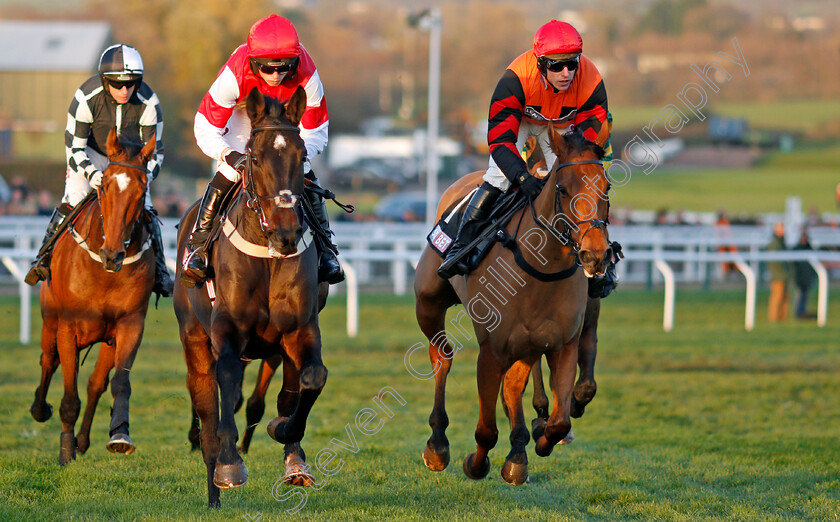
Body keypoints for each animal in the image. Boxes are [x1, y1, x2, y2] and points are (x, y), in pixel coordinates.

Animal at [30, 129, 159, 464]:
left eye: (142, 191)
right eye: (104, 187)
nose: (113, 255)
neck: (104, 273)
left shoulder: (129, 326)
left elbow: (116, 382)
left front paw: (119, 434)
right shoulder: (68, 327)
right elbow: (68, 396)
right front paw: (65, 452)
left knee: (95, 383)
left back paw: (84, 440)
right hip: (49, 320)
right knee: (48, 361)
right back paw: (39, 409)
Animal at [174, 87, 328, 506]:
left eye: (302, 156)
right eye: (256, 158)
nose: (286, 233)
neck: (267, 256)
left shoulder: (299, 329)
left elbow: (311, 379)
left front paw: (287, 437)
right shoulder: (227, 330)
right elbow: (226, 383)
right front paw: (230, 464)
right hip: (194, 337)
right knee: (206, 402)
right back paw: (214, 486)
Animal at [416, 123, 612, 484]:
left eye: (606, 187)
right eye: (563, 189)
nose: (595, 254)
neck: (541, 270)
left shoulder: (562, 342)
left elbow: (560, 418)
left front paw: (541, 439)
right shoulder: (492, 350)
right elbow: (486, 429)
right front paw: (476, 463)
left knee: (513, 384)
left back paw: (520, 447)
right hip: (428, 302)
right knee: (442, 357)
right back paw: (437, 444)